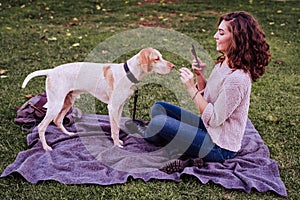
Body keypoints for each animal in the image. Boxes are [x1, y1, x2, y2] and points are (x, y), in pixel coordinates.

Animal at [22, 48, 175, 152]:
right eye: (156, 59)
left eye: (161, 57)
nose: (173, 66)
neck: (128, 73)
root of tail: (51, 71)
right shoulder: (112, 107)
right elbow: (114, 128)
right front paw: (116, 145)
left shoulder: (119, 107)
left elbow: (117, 127)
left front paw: (118, 141)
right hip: (56, 104)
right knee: (42, 127)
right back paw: (46, 147)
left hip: (67, 102)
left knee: (57, 120)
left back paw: (68, 134)